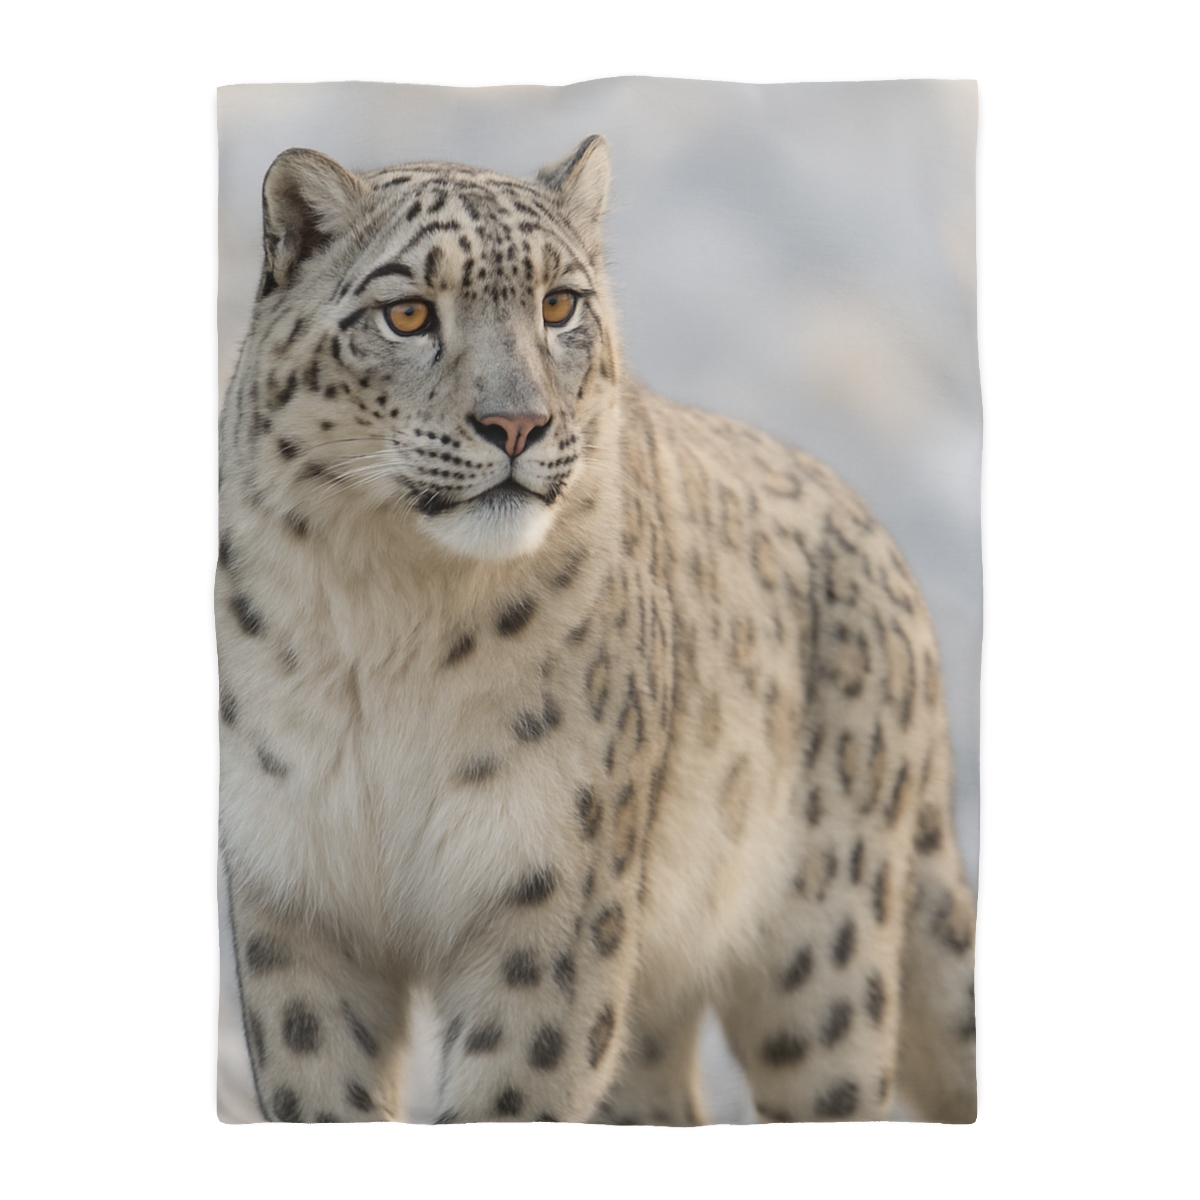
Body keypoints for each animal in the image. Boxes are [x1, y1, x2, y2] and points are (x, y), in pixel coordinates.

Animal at [216, 135, 977, 1125]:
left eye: (559, 303)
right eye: (409, 312)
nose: (517, 423)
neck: (391, 622)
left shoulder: (554, 901)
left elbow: (509, 1099)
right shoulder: (297, 897)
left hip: (821, 968)